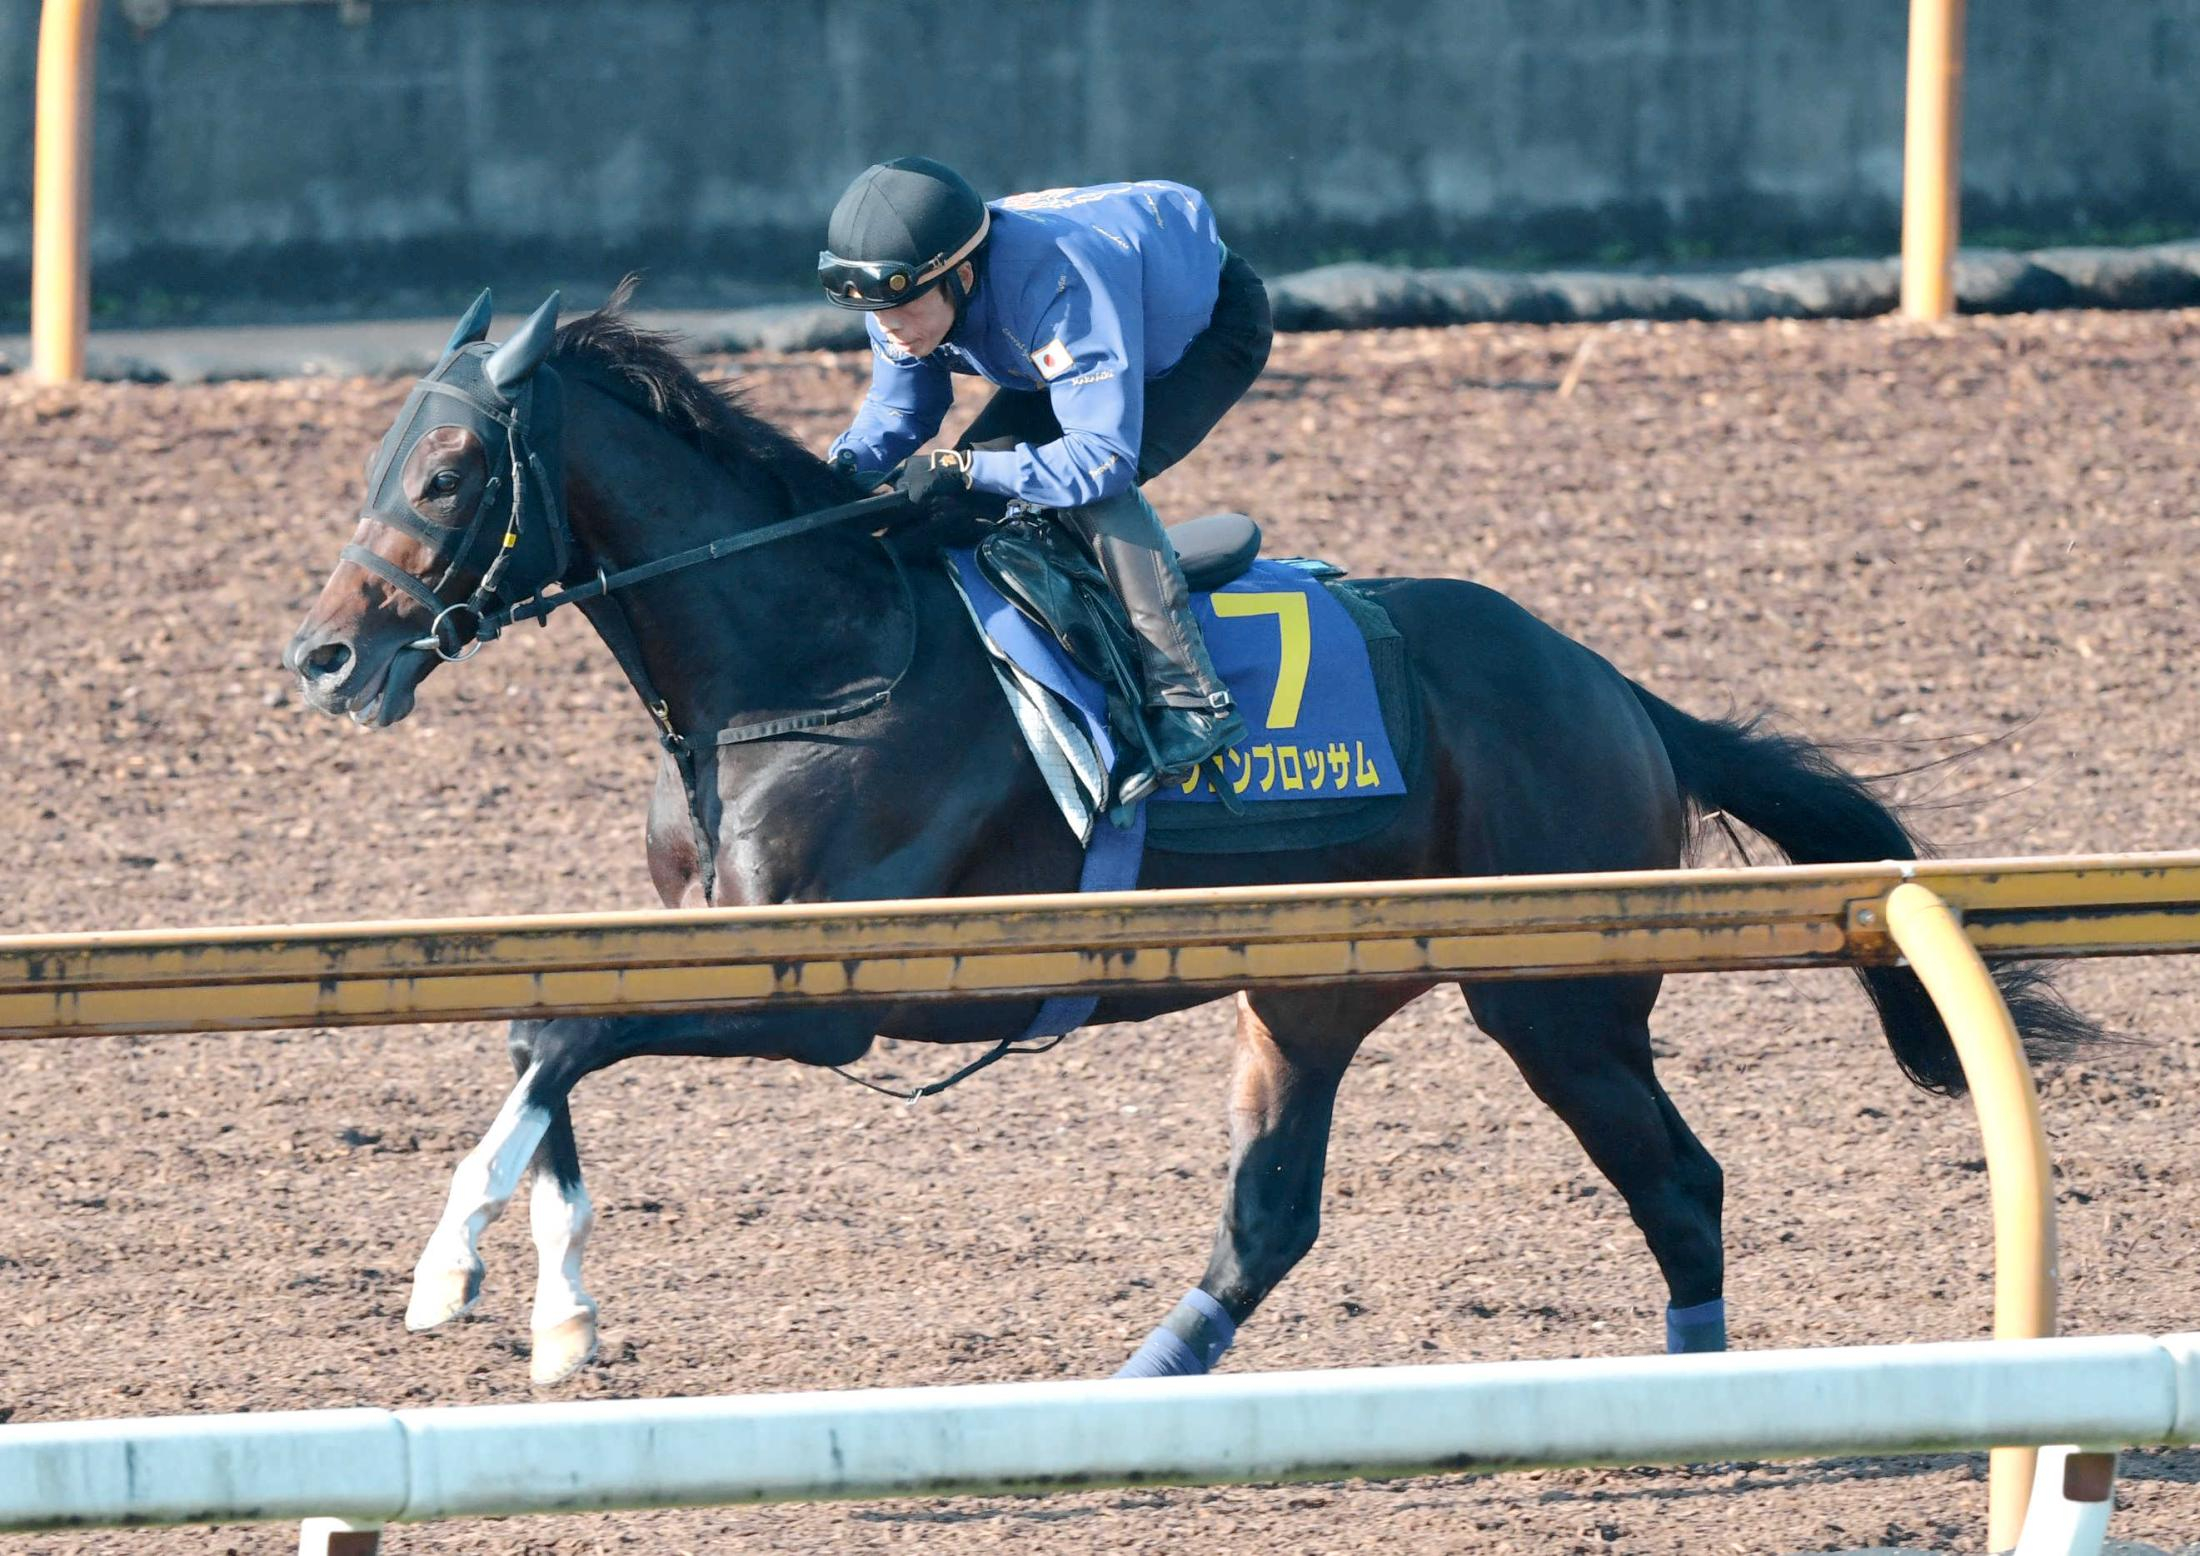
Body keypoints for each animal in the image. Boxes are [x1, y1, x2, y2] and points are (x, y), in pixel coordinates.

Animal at [283, 288, 2085, 1390]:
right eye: (375, 456)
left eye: (448, 471)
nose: (322, 656)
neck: (801, 654)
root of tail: (1620, 690)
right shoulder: (688, 938)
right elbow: (542, 1043)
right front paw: (560, 1319)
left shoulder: (830, 994)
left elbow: (558, 1038)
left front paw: (451, 1272)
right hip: (1312, 994)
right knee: (1272, 1216)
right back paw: (1140, 1389)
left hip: (1554, 995)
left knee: (1682, 1182)